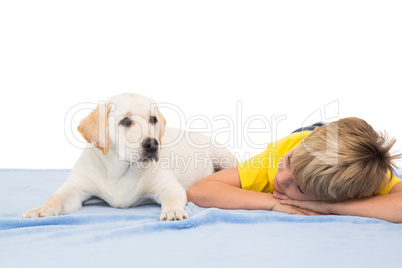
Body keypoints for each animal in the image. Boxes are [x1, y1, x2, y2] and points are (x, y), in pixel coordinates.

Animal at [22, 93, 236, 221]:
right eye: (125, 121)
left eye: (153, 119)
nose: (152, 144)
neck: (121, 170)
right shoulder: (75, 188)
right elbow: (55, 197)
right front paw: (40, 209)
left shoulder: (168, 186)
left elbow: (172, 198)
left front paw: (172, 211)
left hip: (224, 157)